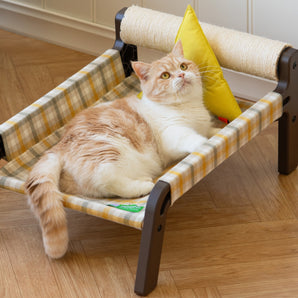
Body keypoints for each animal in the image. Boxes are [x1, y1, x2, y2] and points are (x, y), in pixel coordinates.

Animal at [25, 40, 212, 260]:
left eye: (183, 66)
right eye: (165, 75)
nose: (181, 75)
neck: (188, 108)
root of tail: (60, 144)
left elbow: (210, 130)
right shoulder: (172, 136)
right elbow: (193, 138)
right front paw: (206, 143)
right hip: (109, 150)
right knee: (108, 180)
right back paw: (143, 186)